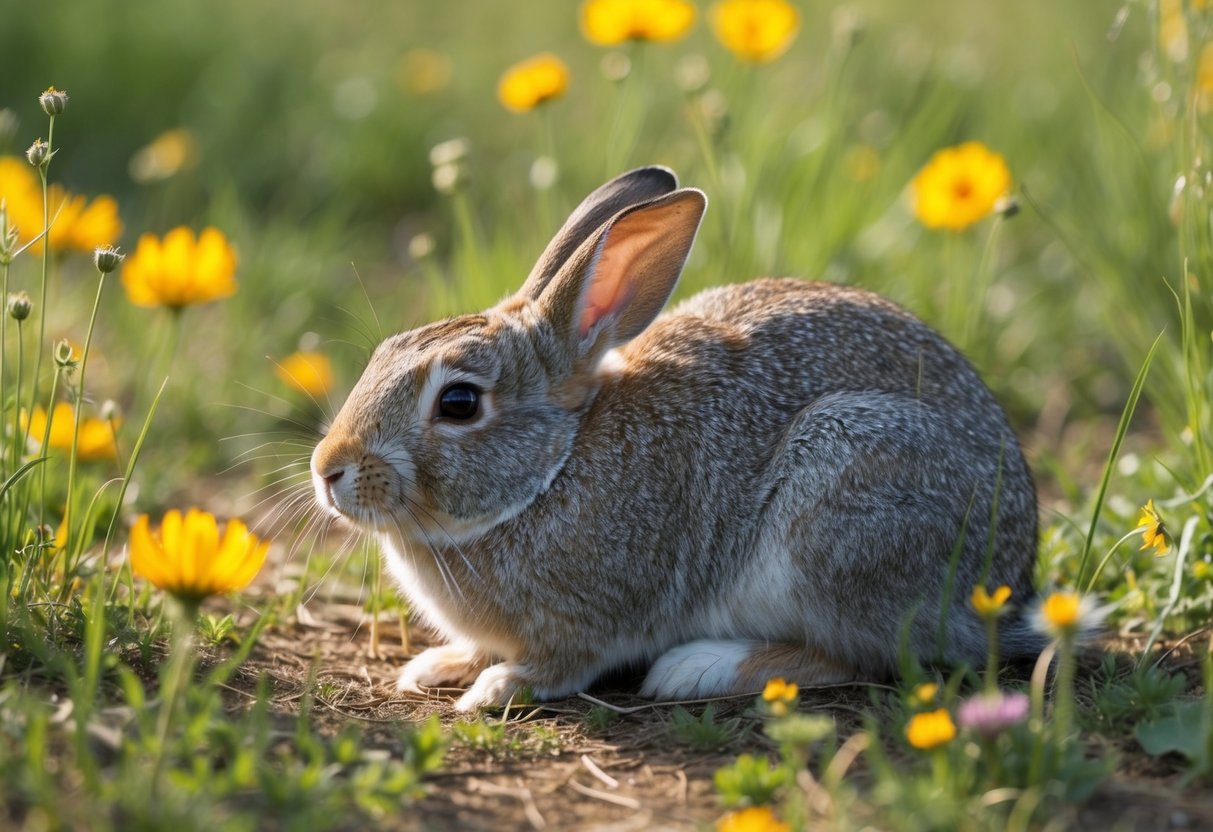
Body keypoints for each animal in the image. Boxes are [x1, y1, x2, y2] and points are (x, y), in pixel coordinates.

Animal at [311, 166, 1042, 712]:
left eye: (459, 403)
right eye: (383, 352)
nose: (327, 468)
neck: (551, 471)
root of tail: (1000, 589)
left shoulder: (590, 621)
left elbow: (560, 665)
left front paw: (497, 686)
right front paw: (439, 666)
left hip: (840, 509)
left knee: (866, 654)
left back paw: (696, 668)